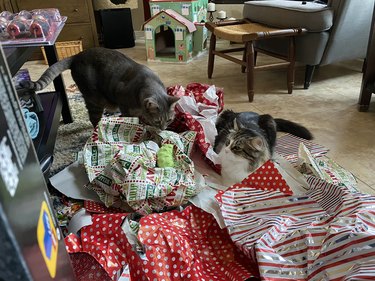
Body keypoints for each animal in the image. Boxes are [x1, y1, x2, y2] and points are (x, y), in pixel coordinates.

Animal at [21, 47, 180, 129]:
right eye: (158, 121)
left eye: (169, 120)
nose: (163, 129)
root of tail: (77, 56)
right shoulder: (123, 102)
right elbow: (130, 117)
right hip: (94, 99)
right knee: (93, 119)